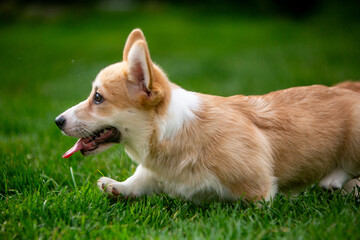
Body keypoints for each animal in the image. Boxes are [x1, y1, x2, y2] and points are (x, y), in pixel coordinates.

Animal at [55, 28, 360, 202]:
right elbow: (137, 182)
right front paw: (115, 186)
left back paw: (334, 181)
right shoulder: (153, 175)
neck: (168, 133)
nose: (57, 121)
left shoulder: (258, 189)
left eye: (98, 97)